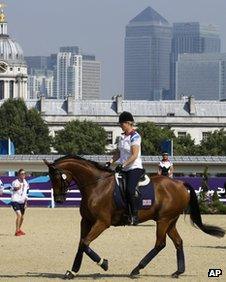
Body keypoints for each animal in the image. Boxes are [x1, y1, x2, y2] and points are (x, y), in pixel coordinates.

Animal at [43, 155, 224, 278]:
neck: (97, 185)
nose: (58, 199)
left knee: (160, 244)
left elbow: (86, 242)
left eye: (56, 176)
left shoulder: (102, 222)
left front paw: (104, 264)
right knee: (178, 242)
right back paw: (178, 271)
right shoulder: (86, 221)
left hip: (163, 220)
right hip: (170, 220)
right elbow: (81, 244)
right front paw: (72, 271)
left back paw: (137, 269)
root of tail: (180, 183)